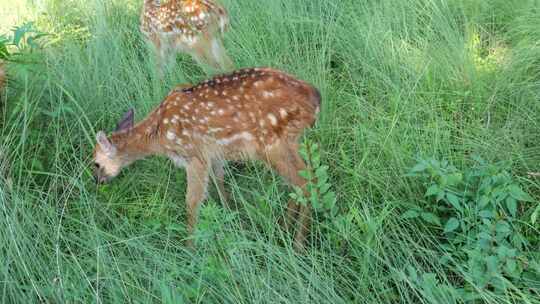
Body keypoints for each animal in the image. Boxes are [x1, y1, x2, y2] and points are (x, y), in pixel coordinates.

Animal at [92, 68, 320, 249]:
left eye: (95, 163)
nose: (96, 180)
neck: (158, 135)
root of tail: (315, 97)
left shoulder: (195, 155)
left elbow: (192, 201)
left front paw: (190, 247)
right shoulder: (214, 153)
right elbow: (219, 181)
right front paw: (230, 215)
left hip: (272, 144)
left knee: (306, 183)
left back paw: (298, 244)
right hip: (290, 142)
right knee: (302, 181)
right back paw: (283, 227)